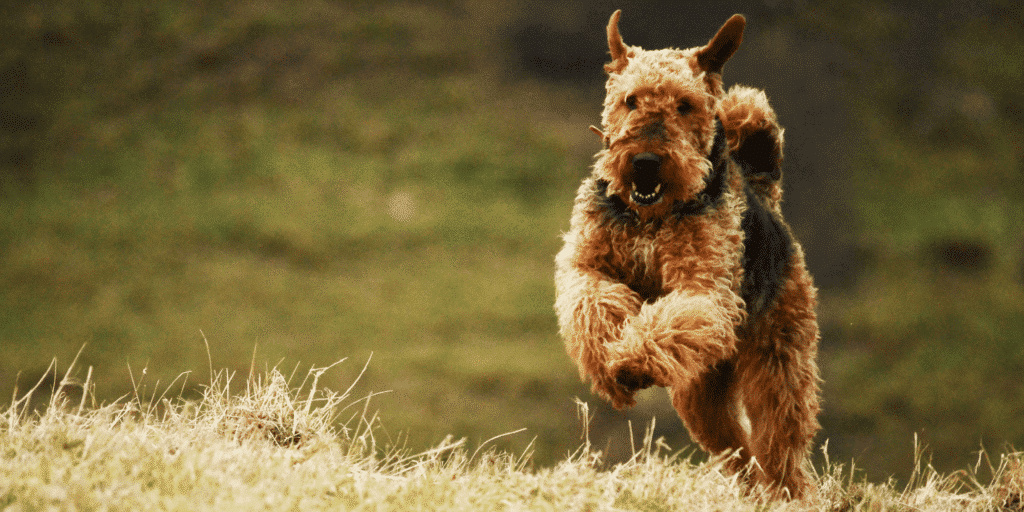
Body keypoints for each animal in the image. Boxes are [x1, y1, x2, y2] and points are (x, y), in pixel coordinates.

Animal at [557, 9, 819, 499]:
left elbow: (668, 320)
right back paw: (748, 491)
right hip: (700, 390)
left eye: (684, 104)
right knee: (737, 449)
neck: (649, 218)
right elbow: (594, 305)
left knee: (780, 446)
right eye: (630, 100)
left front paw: (630, 363)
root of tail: (764, 192)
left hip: (777, 363)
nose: (644, 161)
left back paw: (787, 495)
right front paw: (610, 368)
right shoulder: (586, 267)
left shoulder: (702, 289)